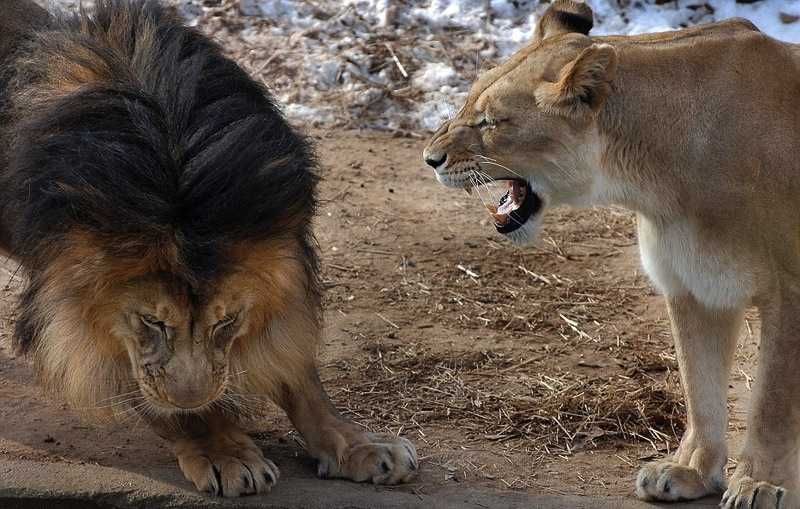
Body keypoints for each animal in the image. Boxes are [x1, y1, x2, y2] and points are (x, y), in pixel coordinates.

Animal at [0, 0, 416, 497]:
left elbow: (301, 376)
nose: (191, 398)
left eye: (228, 321)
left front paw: (361, 446)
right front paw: (225, 451)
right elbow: (165, 399)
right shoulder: (73, 312)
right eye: (152, 321)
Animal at [423, 1, 800, 507]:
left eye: (492, 122)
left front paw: (761, 484)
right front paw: (690, 470)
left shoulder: (790, 291)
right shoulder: (694, 284)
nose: (430, 159)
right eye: (468, 105)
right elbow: (699, 385)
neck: (659, 182)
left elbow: (771, 404)